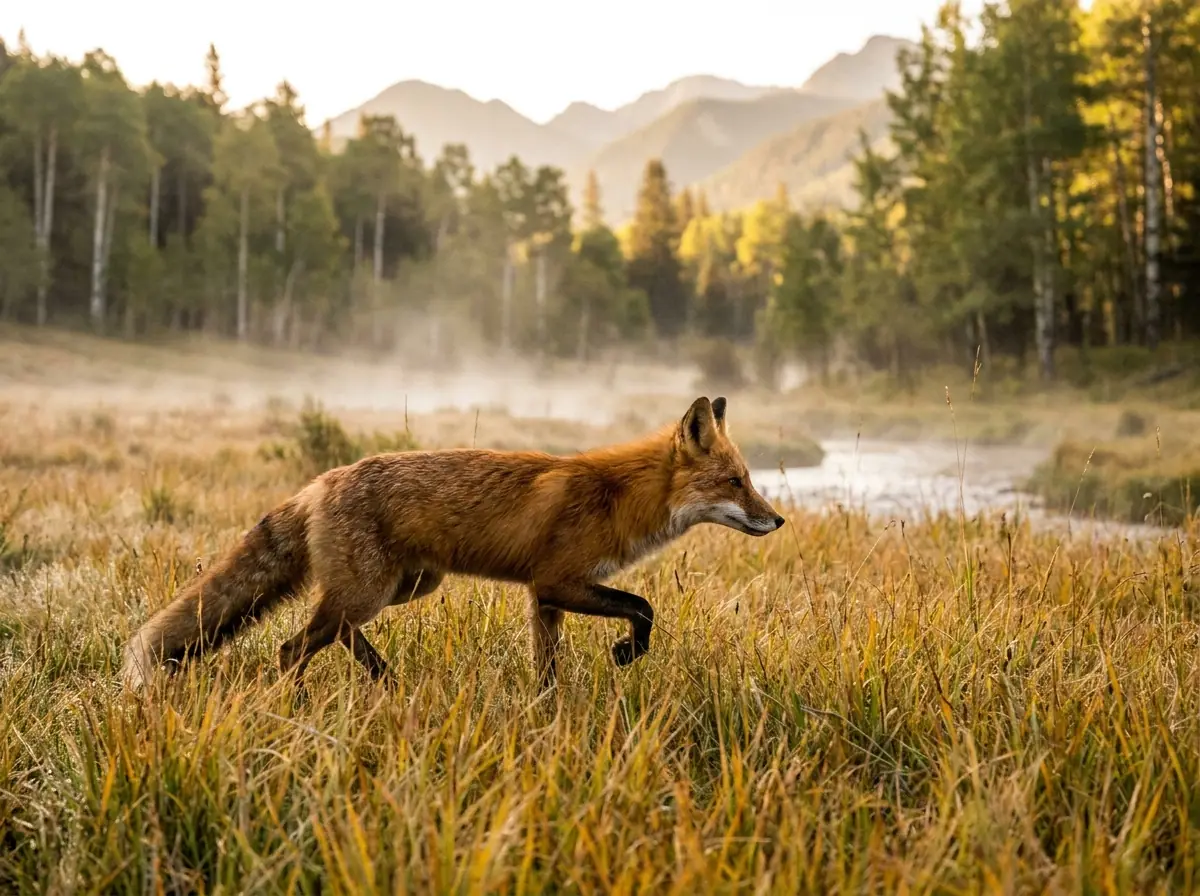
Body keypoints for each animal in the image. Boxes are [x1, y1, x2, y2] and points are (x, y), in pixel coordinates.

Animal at [120, 395, 786, 692]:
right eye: (736, 482)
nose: (777, 520)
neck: (616, 496)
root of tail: (320, 481)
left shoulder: (544, 599)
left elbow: (548, 666)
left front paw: (549, 711)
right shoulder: (559, 582)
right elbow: (644, 608)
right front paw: (627, 654)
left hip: (404, 587)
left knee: (338, 631)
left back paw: (383, 681)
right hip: (372, 590)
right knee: (294, 647)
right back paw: (300, 697)